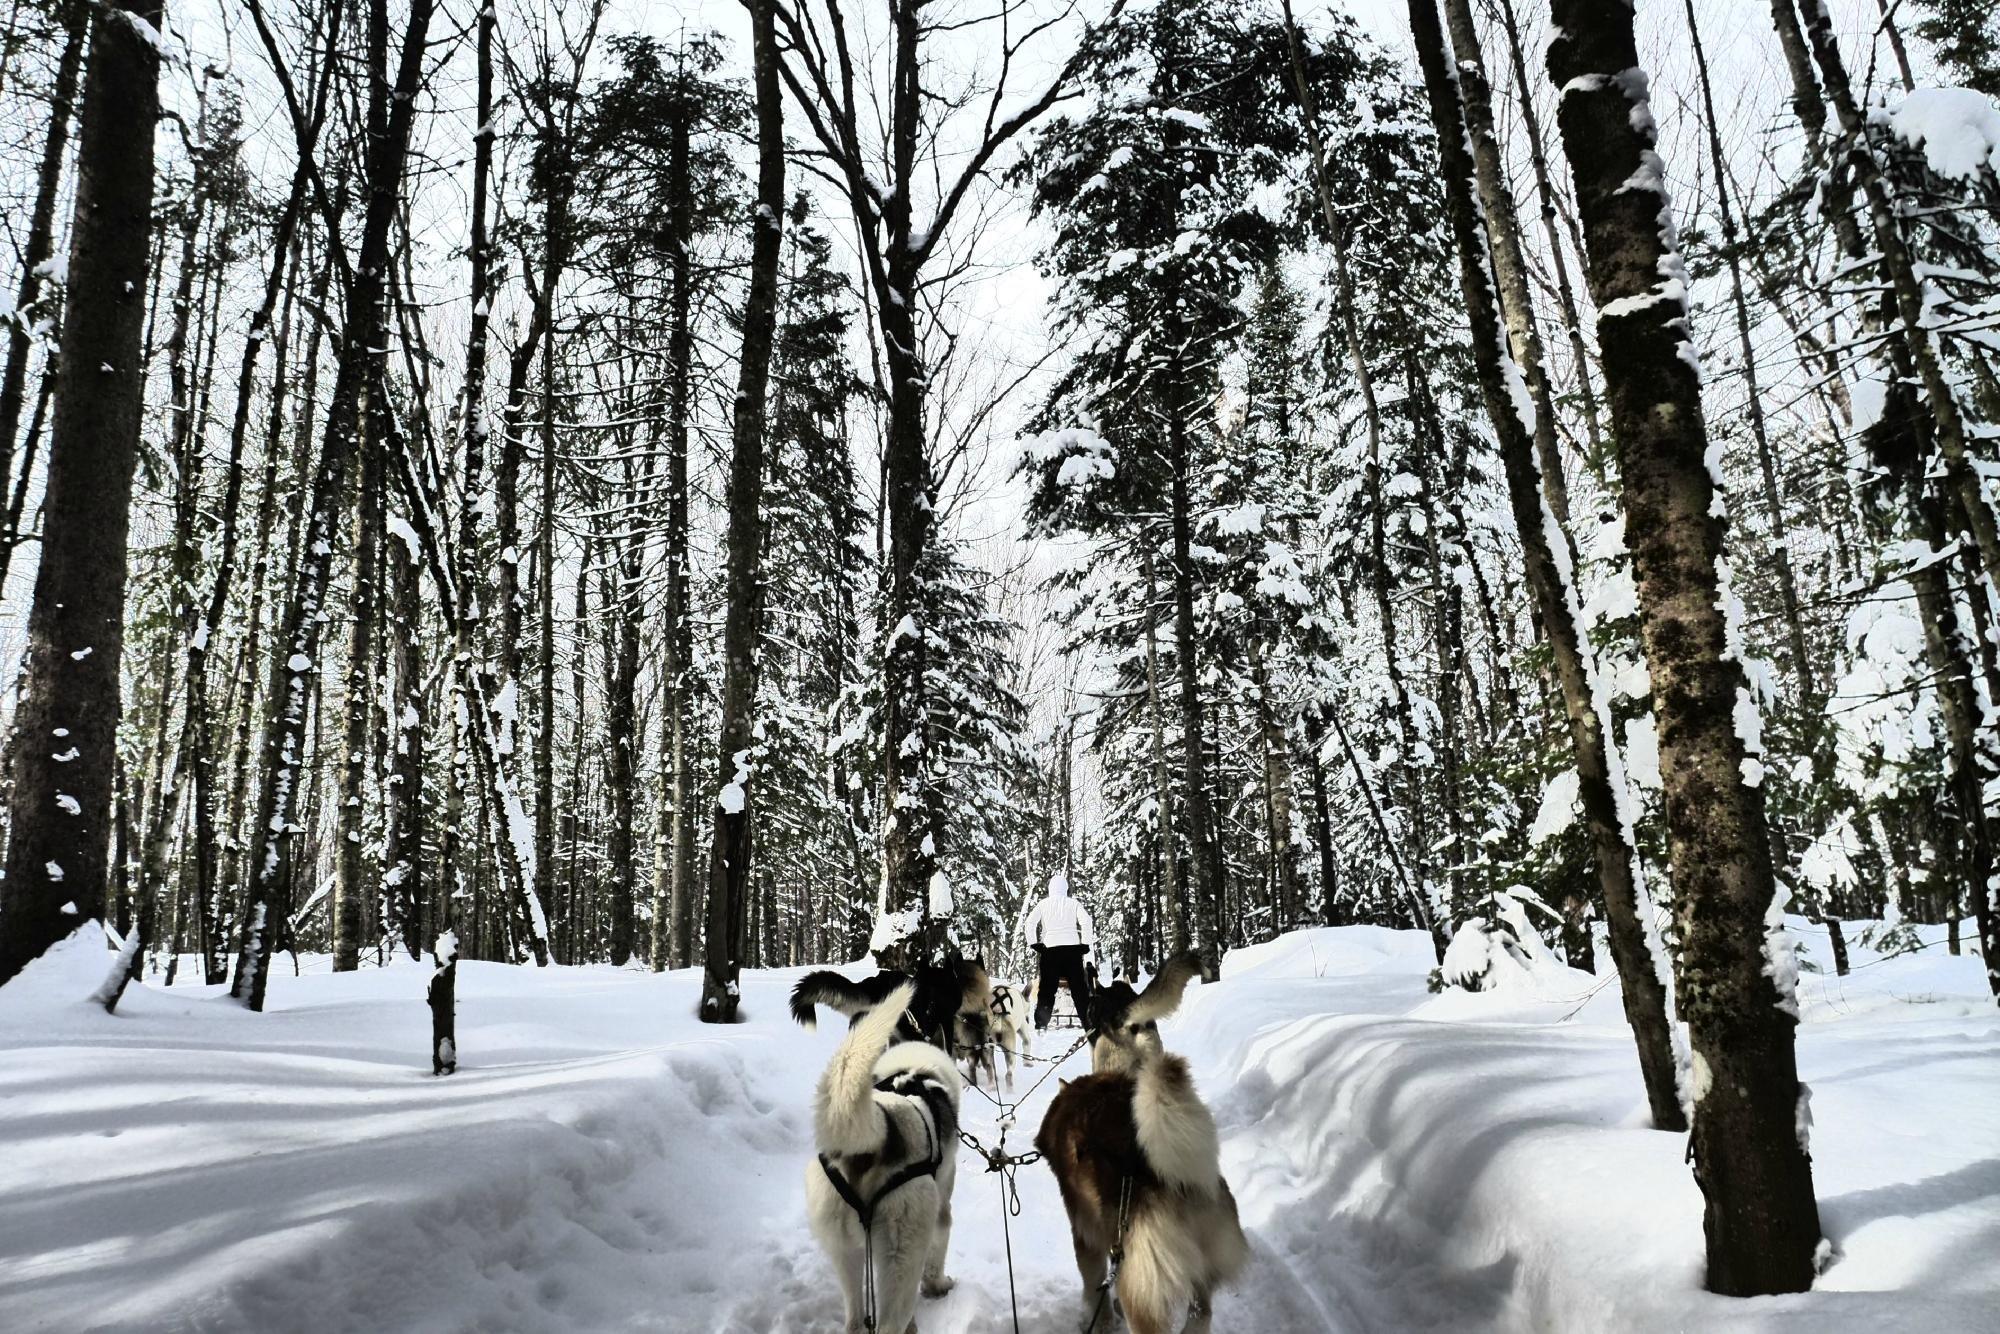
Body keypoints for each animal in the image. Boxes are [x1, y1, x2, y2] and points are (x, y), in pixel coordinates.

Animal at [804, 976, 960, 1328]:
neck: (916, 1071)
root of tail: (880, 1131)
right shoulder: (943, 1208)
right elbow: (938, 1255)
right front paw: (938, 1286)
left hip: (846, 1252)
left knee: (854, 1318)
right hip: (902, 1250)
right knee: (891, 1320)